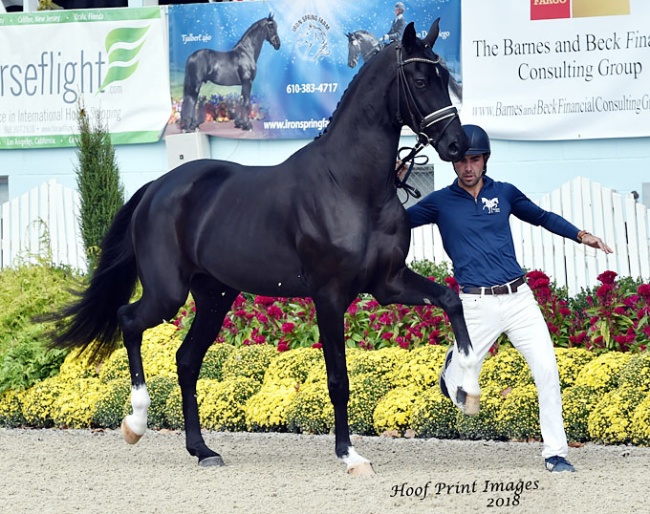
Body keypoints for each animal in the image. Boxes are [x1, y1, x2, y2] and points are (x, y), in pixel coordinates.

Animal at [53, 21, 478, 476]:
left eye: (445, 79)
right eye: (420, 81)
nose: (456, 145)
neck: (350, 185)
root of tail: (156, 188)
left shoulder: (388, 283)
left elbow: (450, 300)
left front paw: (467, 391)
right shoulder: (329, 296)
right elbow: (338, 379)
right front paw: (349, 455)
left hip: (215, 296)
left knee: (186, 360)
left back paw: (202, 449)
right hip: (168, 293)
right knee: (129, 321)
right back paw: (135, 422)